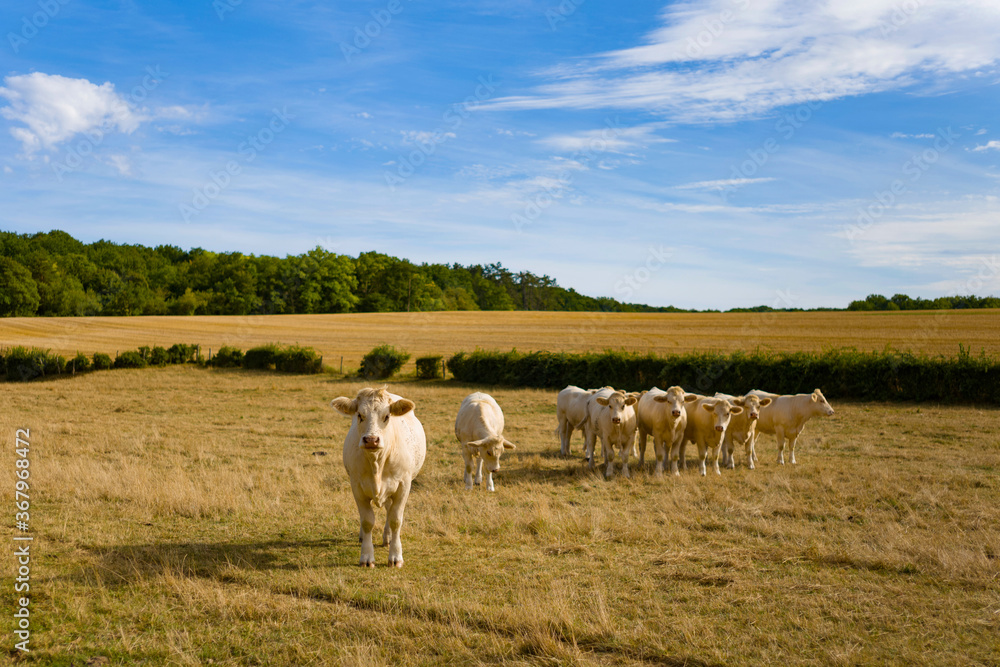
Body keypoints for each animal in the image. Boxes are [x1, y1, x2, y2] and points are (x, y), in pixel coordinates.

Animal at [330, 387, 426, 568]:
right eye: (360, 415)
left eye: (387, 416)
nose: (371, 440)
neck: (377, 463)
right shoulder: (357, 487)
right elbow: (367, 520)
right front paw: (367, 556)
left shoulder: (403, 486)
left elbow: (396, 520)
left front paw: (395, 556)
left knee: (389, 511)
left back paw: (387, 538)